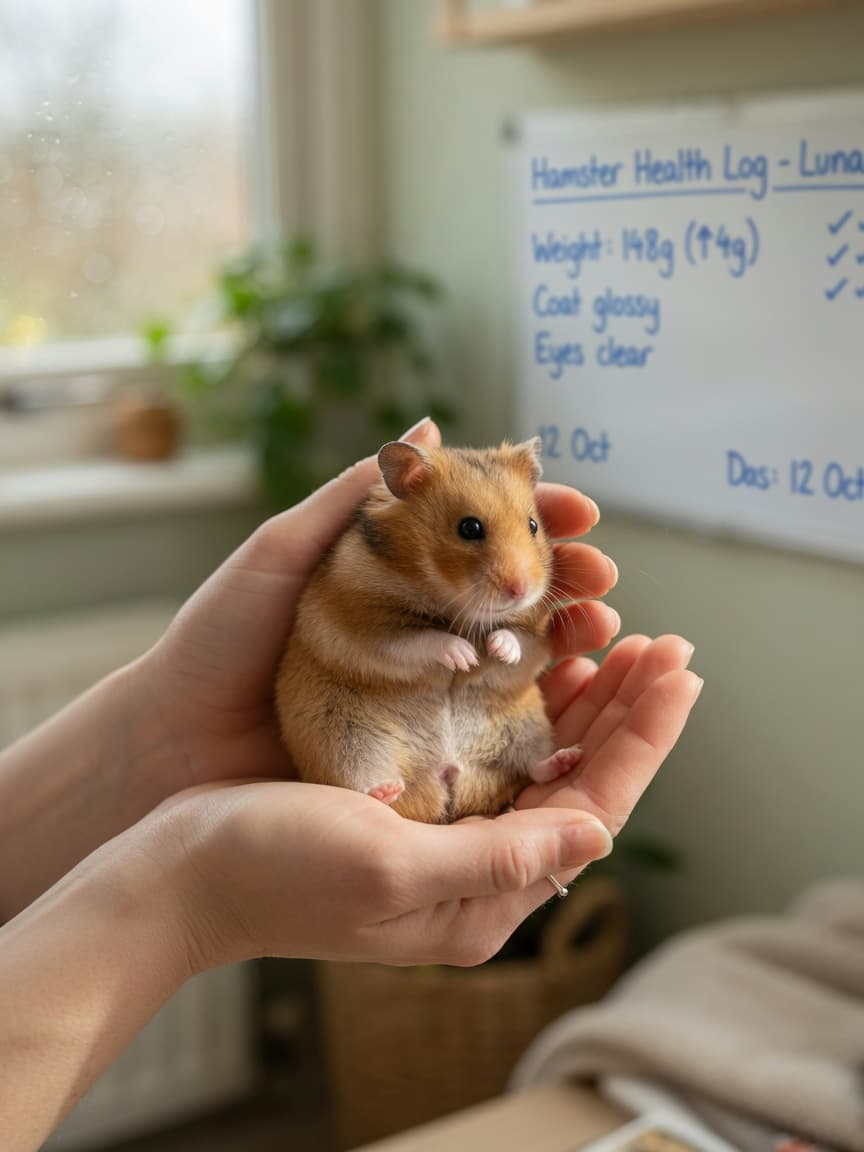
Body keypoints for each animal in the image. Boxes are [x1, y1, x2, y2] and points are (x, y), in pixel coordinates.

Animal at [275, 438, 581, 824]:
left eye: (533, 525)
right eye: (469, 528)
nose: (520, 590)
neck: (451, 599)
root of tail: (446, 774)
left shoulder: (538, 632)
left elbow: (518, 637)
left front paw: (497, 650)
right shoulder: (367, 625)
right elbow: (422, 638)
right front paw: (465, 657)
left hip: (527, 726)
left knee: (533, 765)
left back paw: (568, 758)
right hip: (340, 738)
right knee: (362, 780)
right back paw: (385, 791)